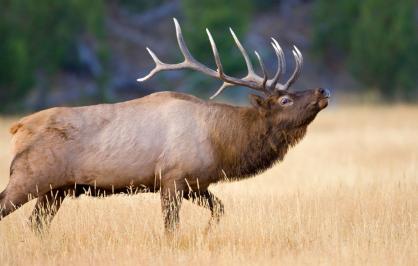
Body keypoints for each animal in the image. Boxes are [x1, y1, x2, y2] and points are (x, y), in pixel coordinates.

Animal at [0, 18, 330, 233]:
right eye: (285, 100)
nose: (322, 91)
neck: (221, 145)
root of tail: (17, 128)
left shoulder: (197, 184)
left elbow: (220, 210)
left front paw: (206, 234)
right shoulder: (172, 178)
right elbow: (171, 228)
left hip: (55, 190)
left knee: (36, 225)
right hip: (27, 177)